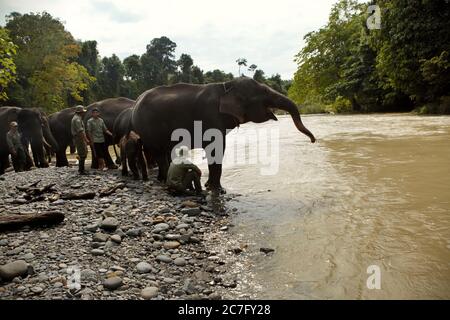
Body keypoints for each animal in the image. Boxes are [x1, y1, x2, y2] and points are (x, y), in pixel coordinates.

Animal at [131, 76, 316, 191]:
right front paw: (218, 189)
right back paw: (162, 180)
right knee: (159, 153)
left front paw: (210, 186)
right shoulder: (210, 117)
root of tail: (136, 102)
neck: (226, 86)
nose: (313, 141)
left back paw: (160, 179)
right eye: (264, 93)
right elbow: (216, 148)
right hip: (148, 129)